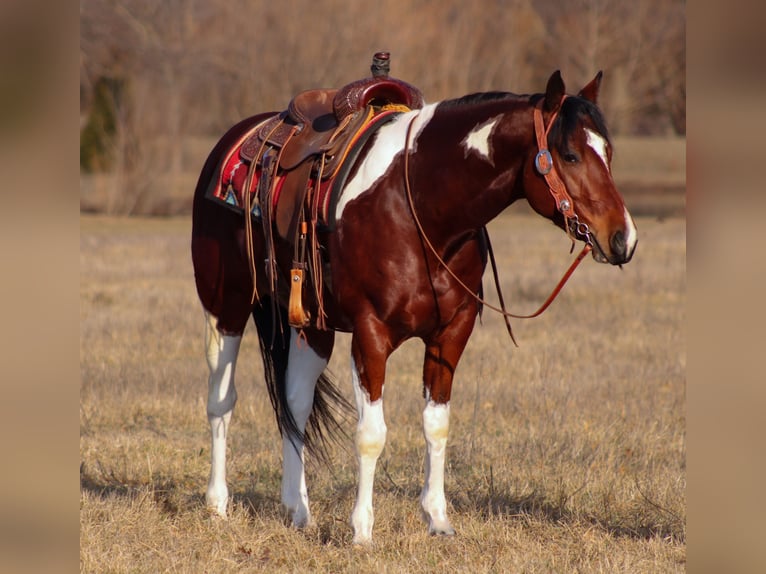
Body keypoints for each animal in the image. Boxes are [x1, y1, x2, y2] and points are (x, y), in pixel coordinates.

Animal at [190, 70, 636, 548]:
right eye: (569, 155)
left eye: (608, 152)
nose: (623, 238)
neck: (420, 207)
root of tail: (236, 137)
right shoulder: (370, 335)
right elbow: (371, 434)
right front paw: (362, 530)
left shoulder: (450, 334)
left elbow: (436, 425)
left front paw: (437, 519)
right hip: (226, 305)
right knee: (221, 400)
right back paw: (217, 505)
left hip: (311, 324)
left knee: (295, 403)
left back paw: (298, 509)